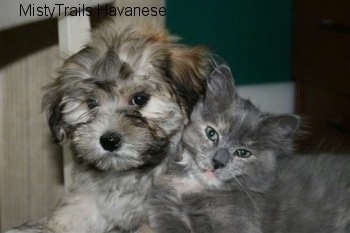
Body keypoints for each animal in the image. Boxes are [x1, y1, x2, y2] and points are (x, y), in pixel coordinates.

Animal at [6, 18, 209, 233]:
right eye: (91, 103)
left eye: (140, 99)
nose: (109, 140)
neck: (129, 173)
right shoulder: (91, 201)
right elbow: (71, 214)